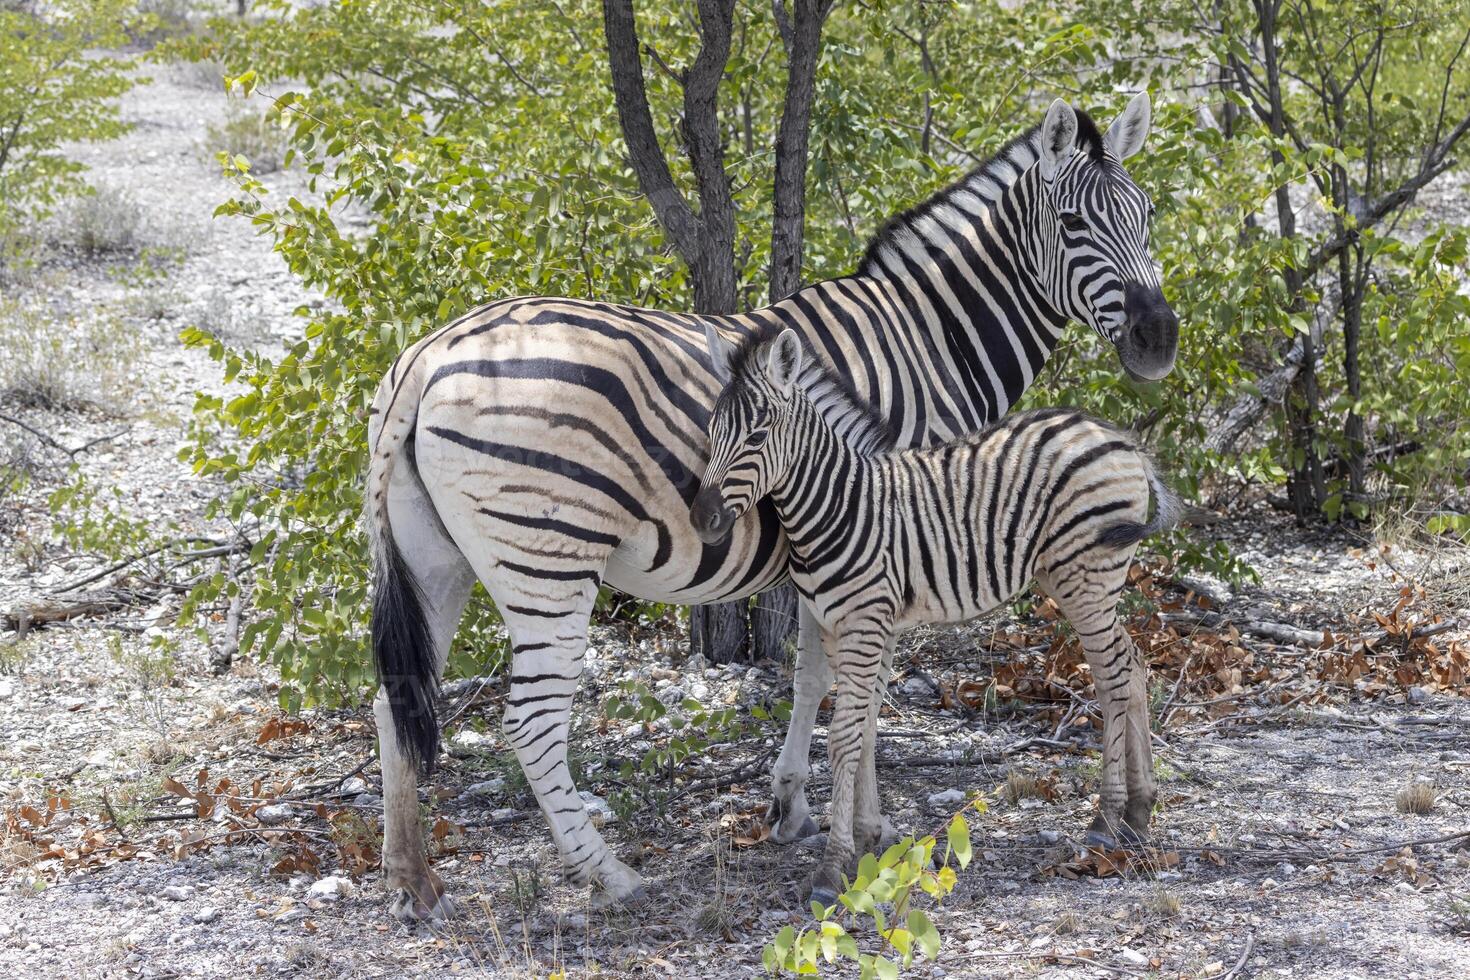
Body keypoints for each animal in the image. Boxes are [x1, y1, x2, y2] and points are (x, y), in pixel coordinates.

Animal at [690, 332, 1181, 905]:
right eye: (712, 431)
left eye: (758, 434)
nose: (702, 520)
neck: (839, 504)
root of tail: (1119, 437)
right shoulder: (850, 627)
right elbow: (865, 729)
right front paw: (868, 837)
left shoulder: (864, 624)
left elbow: (842, 737)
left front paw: (832, 867)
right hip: (1082, 581)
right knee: (1133, 668)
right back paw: (1138, 814)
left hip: (1086, 578)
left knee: (1115, 676)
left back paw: (1106, 819)